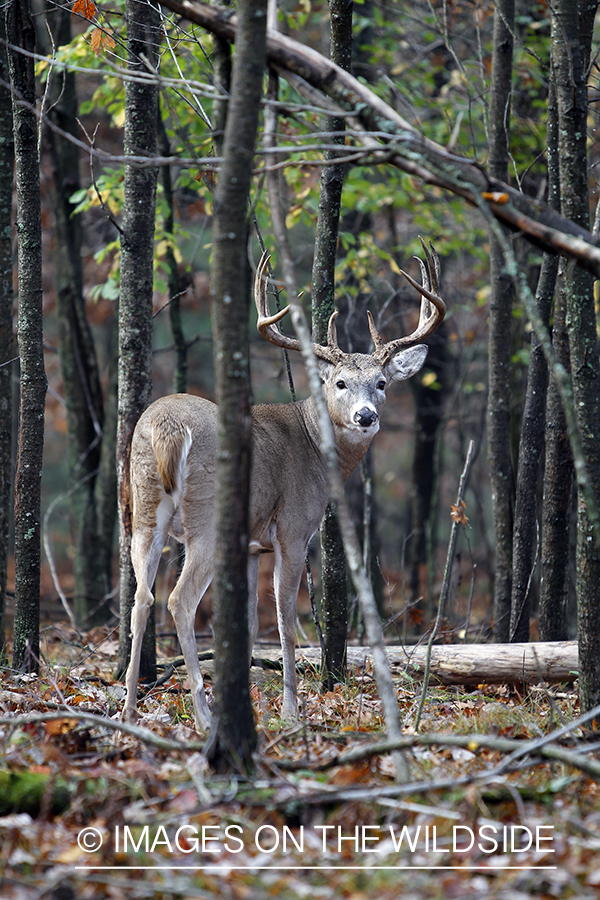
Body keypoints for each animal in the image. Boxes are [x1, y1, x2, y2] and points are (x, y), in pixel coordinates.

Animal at [123, 241, 446, 732]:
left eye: (382, 382)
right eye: (340, 382)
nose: (366, 416)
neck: (312, 444)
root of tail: (166, 426)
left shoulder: (253, 545)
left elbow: (249, 624)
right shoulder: (293, 529)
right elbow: (286, 623)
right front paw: (292, 711)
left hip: (143, 508)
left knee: (142, 597)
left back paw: (126, 708)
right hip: (207, 517)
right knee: (178, 600)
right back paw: (201, 715)